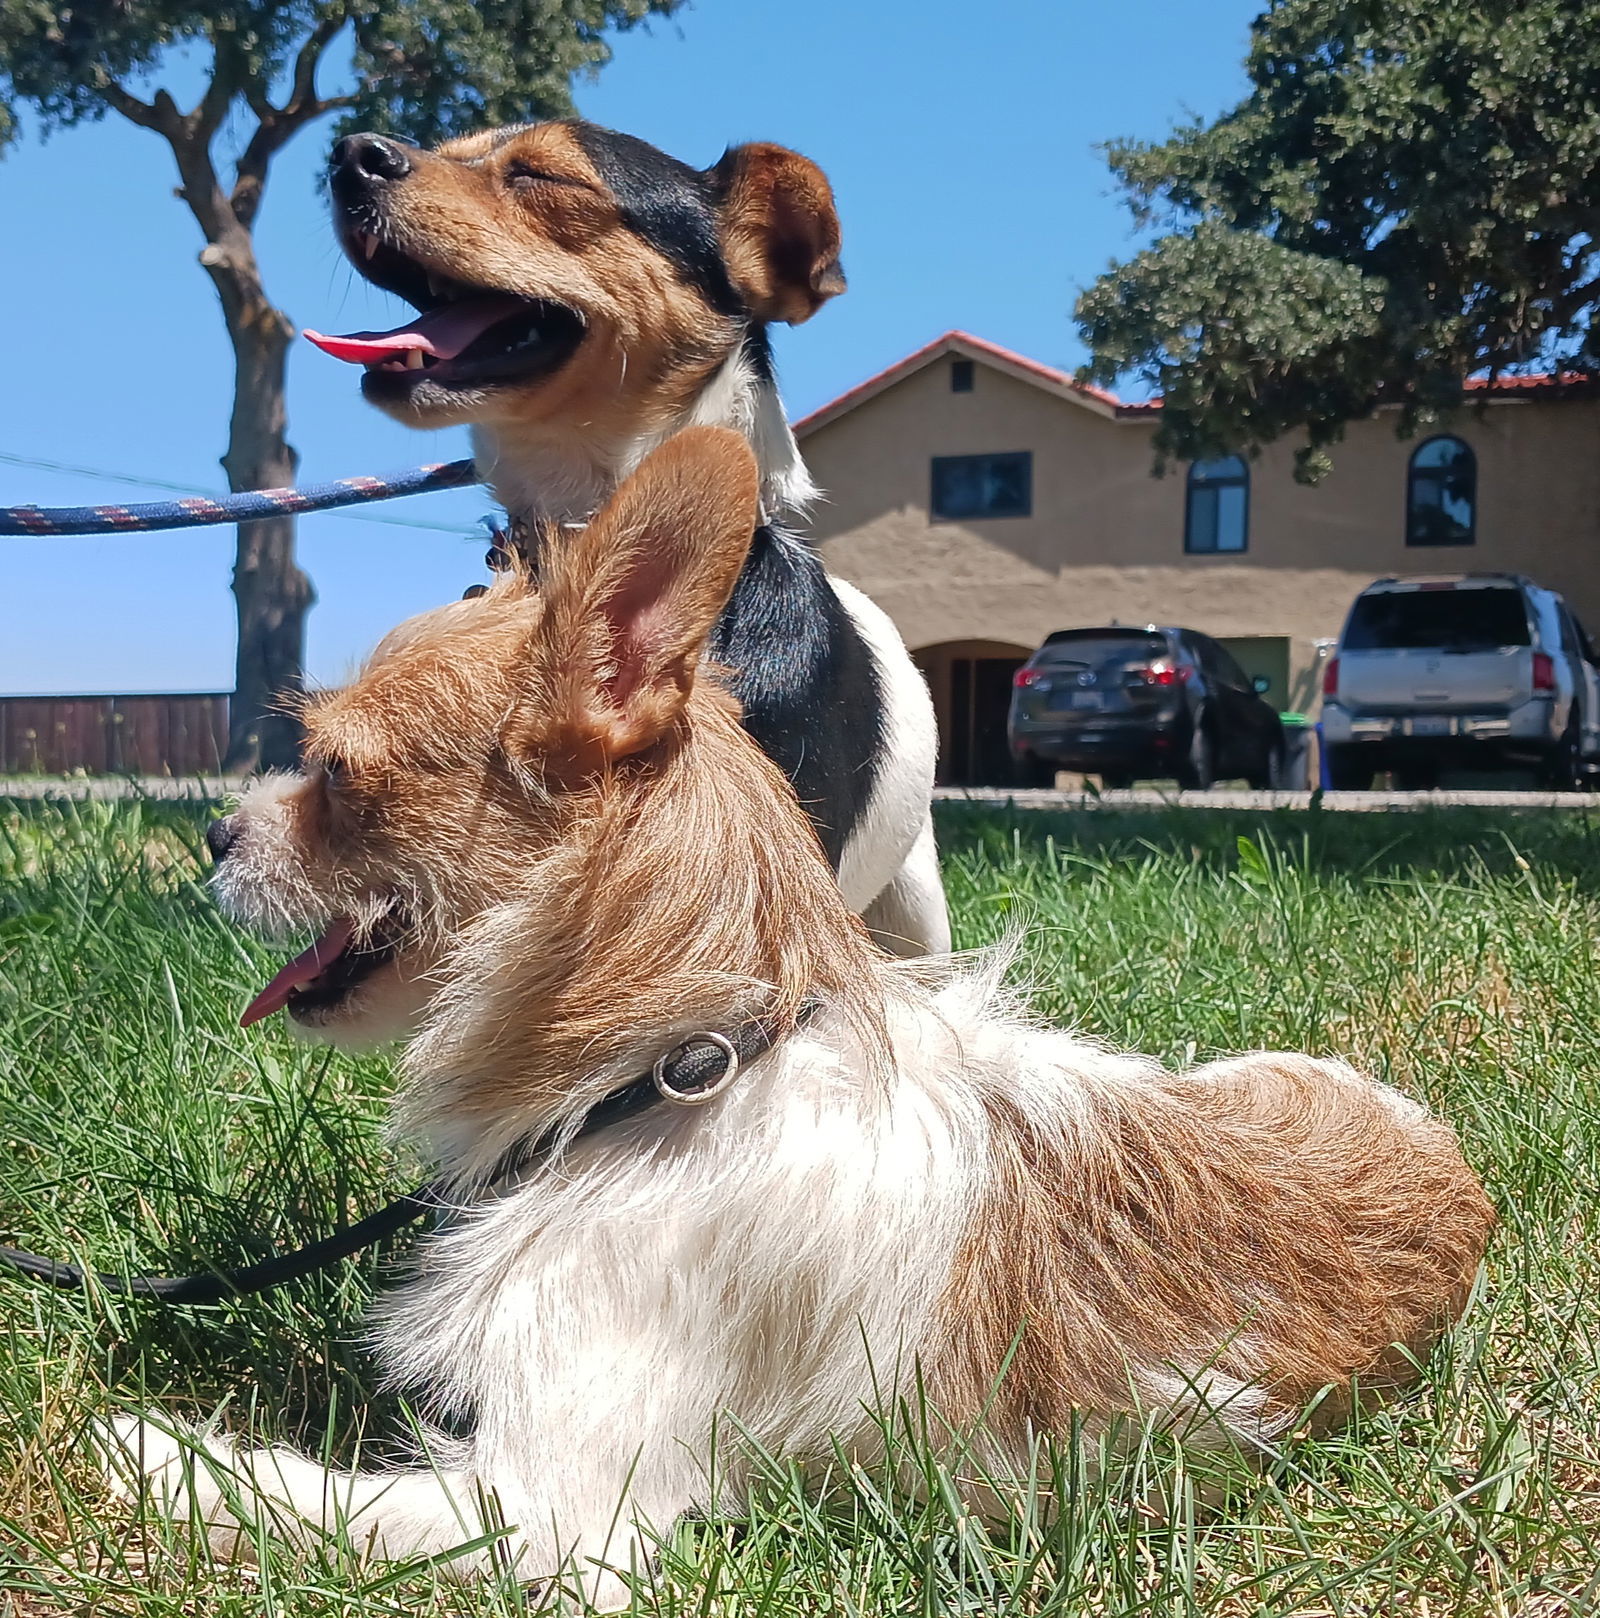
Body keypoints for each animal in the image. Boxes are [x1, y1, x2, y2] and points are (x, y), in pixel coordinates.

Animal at [109, 430, 1488, 1605]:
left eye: (336, 775)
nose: (214, 832)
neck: (684, 1067)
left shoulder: (552, 1515)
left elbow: (313, 1496)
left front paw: (151, 1452)